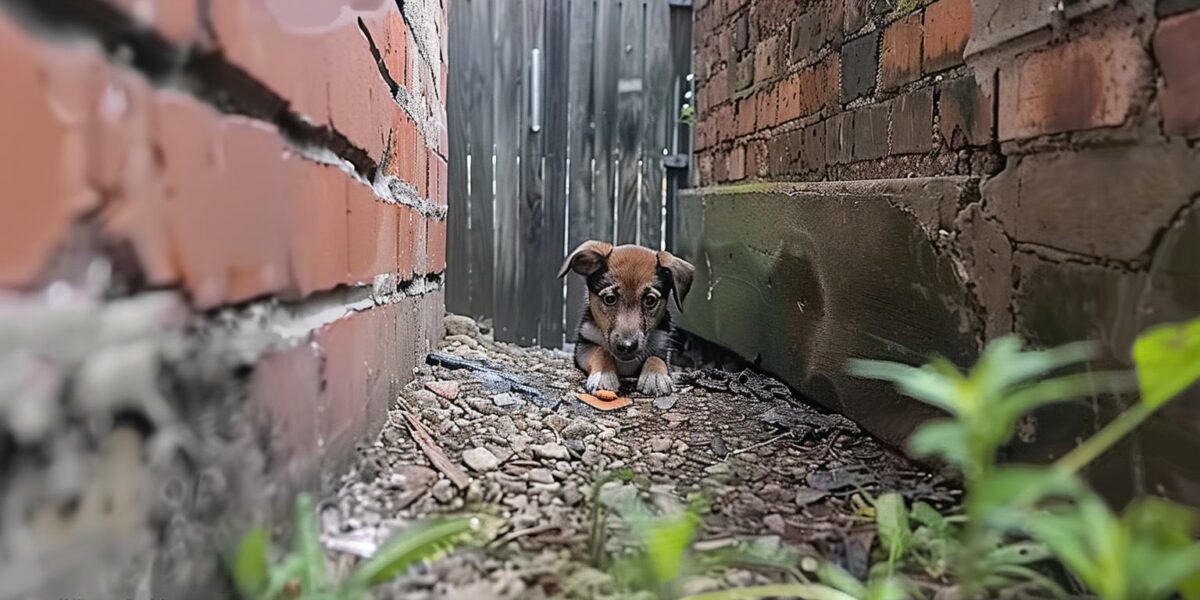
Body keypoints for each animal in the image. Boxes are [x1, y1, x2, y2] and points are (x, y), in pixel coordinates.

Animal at [554, 241, 696, 396]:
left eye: (650, 300)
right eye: (609, 298)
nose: (626, 346)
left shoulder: (663, 346)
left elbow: (656, 358)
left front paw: (655, 377)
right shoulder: (583, 346)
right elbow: (601, 351)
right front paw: (604, 375)